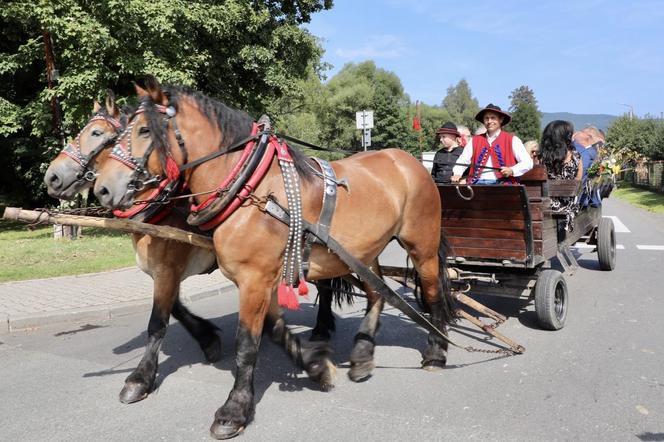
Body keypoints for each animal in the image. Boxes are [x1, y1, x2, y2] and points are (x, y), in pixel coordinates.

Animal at [93, 79, 454, 438]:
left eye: (143, 130)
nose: (102, 189)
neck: (253, 191)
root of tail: (408, 160)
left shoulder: (251, 279)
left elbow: (245, 344)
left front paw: (234, 410)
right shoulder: (262, 279)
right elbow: (276, 329)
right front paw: (316, 367)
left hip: (421, 245)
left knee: (432, 292)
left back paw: (436, 351)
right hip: (363, 252)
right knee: (377, 293)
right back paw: (363, 355)